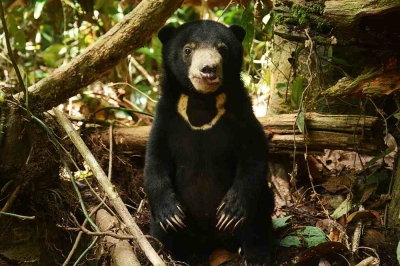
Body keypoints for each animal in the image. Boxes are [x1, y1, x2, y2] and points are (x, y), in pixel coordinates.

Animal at [145, 19, 276, 264]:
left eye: (222, 49)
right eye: (188, 50)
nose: (208, 69)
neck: (202, 101)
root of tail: (210, 244)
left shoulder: (242, 116)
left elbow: (253, 157)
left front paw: (231, 211)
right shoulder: (165, 120)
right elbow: (155, 162)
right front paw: (171, 213)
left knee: (259, 216)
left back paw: (258, 254)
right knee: (162, 230)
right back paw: (171, 253)